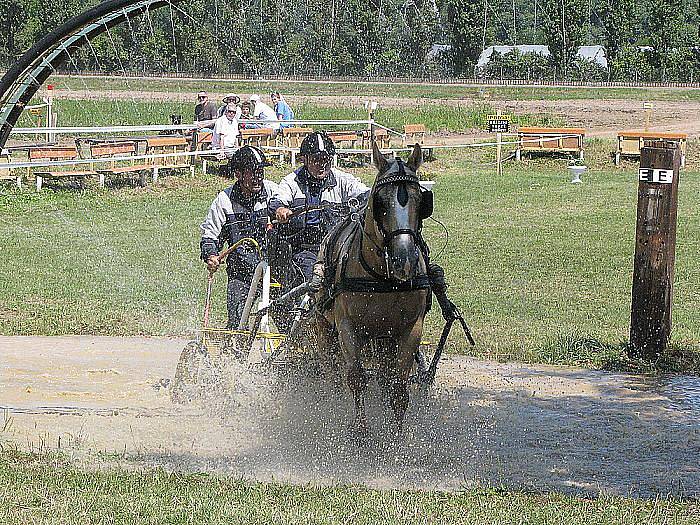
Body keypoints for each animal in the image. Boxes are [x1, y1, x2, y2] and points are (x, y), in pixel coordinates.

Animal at [314, 140, 432, 438]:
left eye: (420, 200)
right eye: (380, 202)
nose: (404, 259)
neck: (382, 278)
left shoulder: (409, 329)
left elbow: (397, 389)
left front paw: (396, 436)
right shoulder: (347, 327)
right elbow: (355, 377)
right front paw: (360, 430)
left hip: (383, 339)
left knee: (383, 376)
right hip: (324, 327)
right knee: (332, 372)